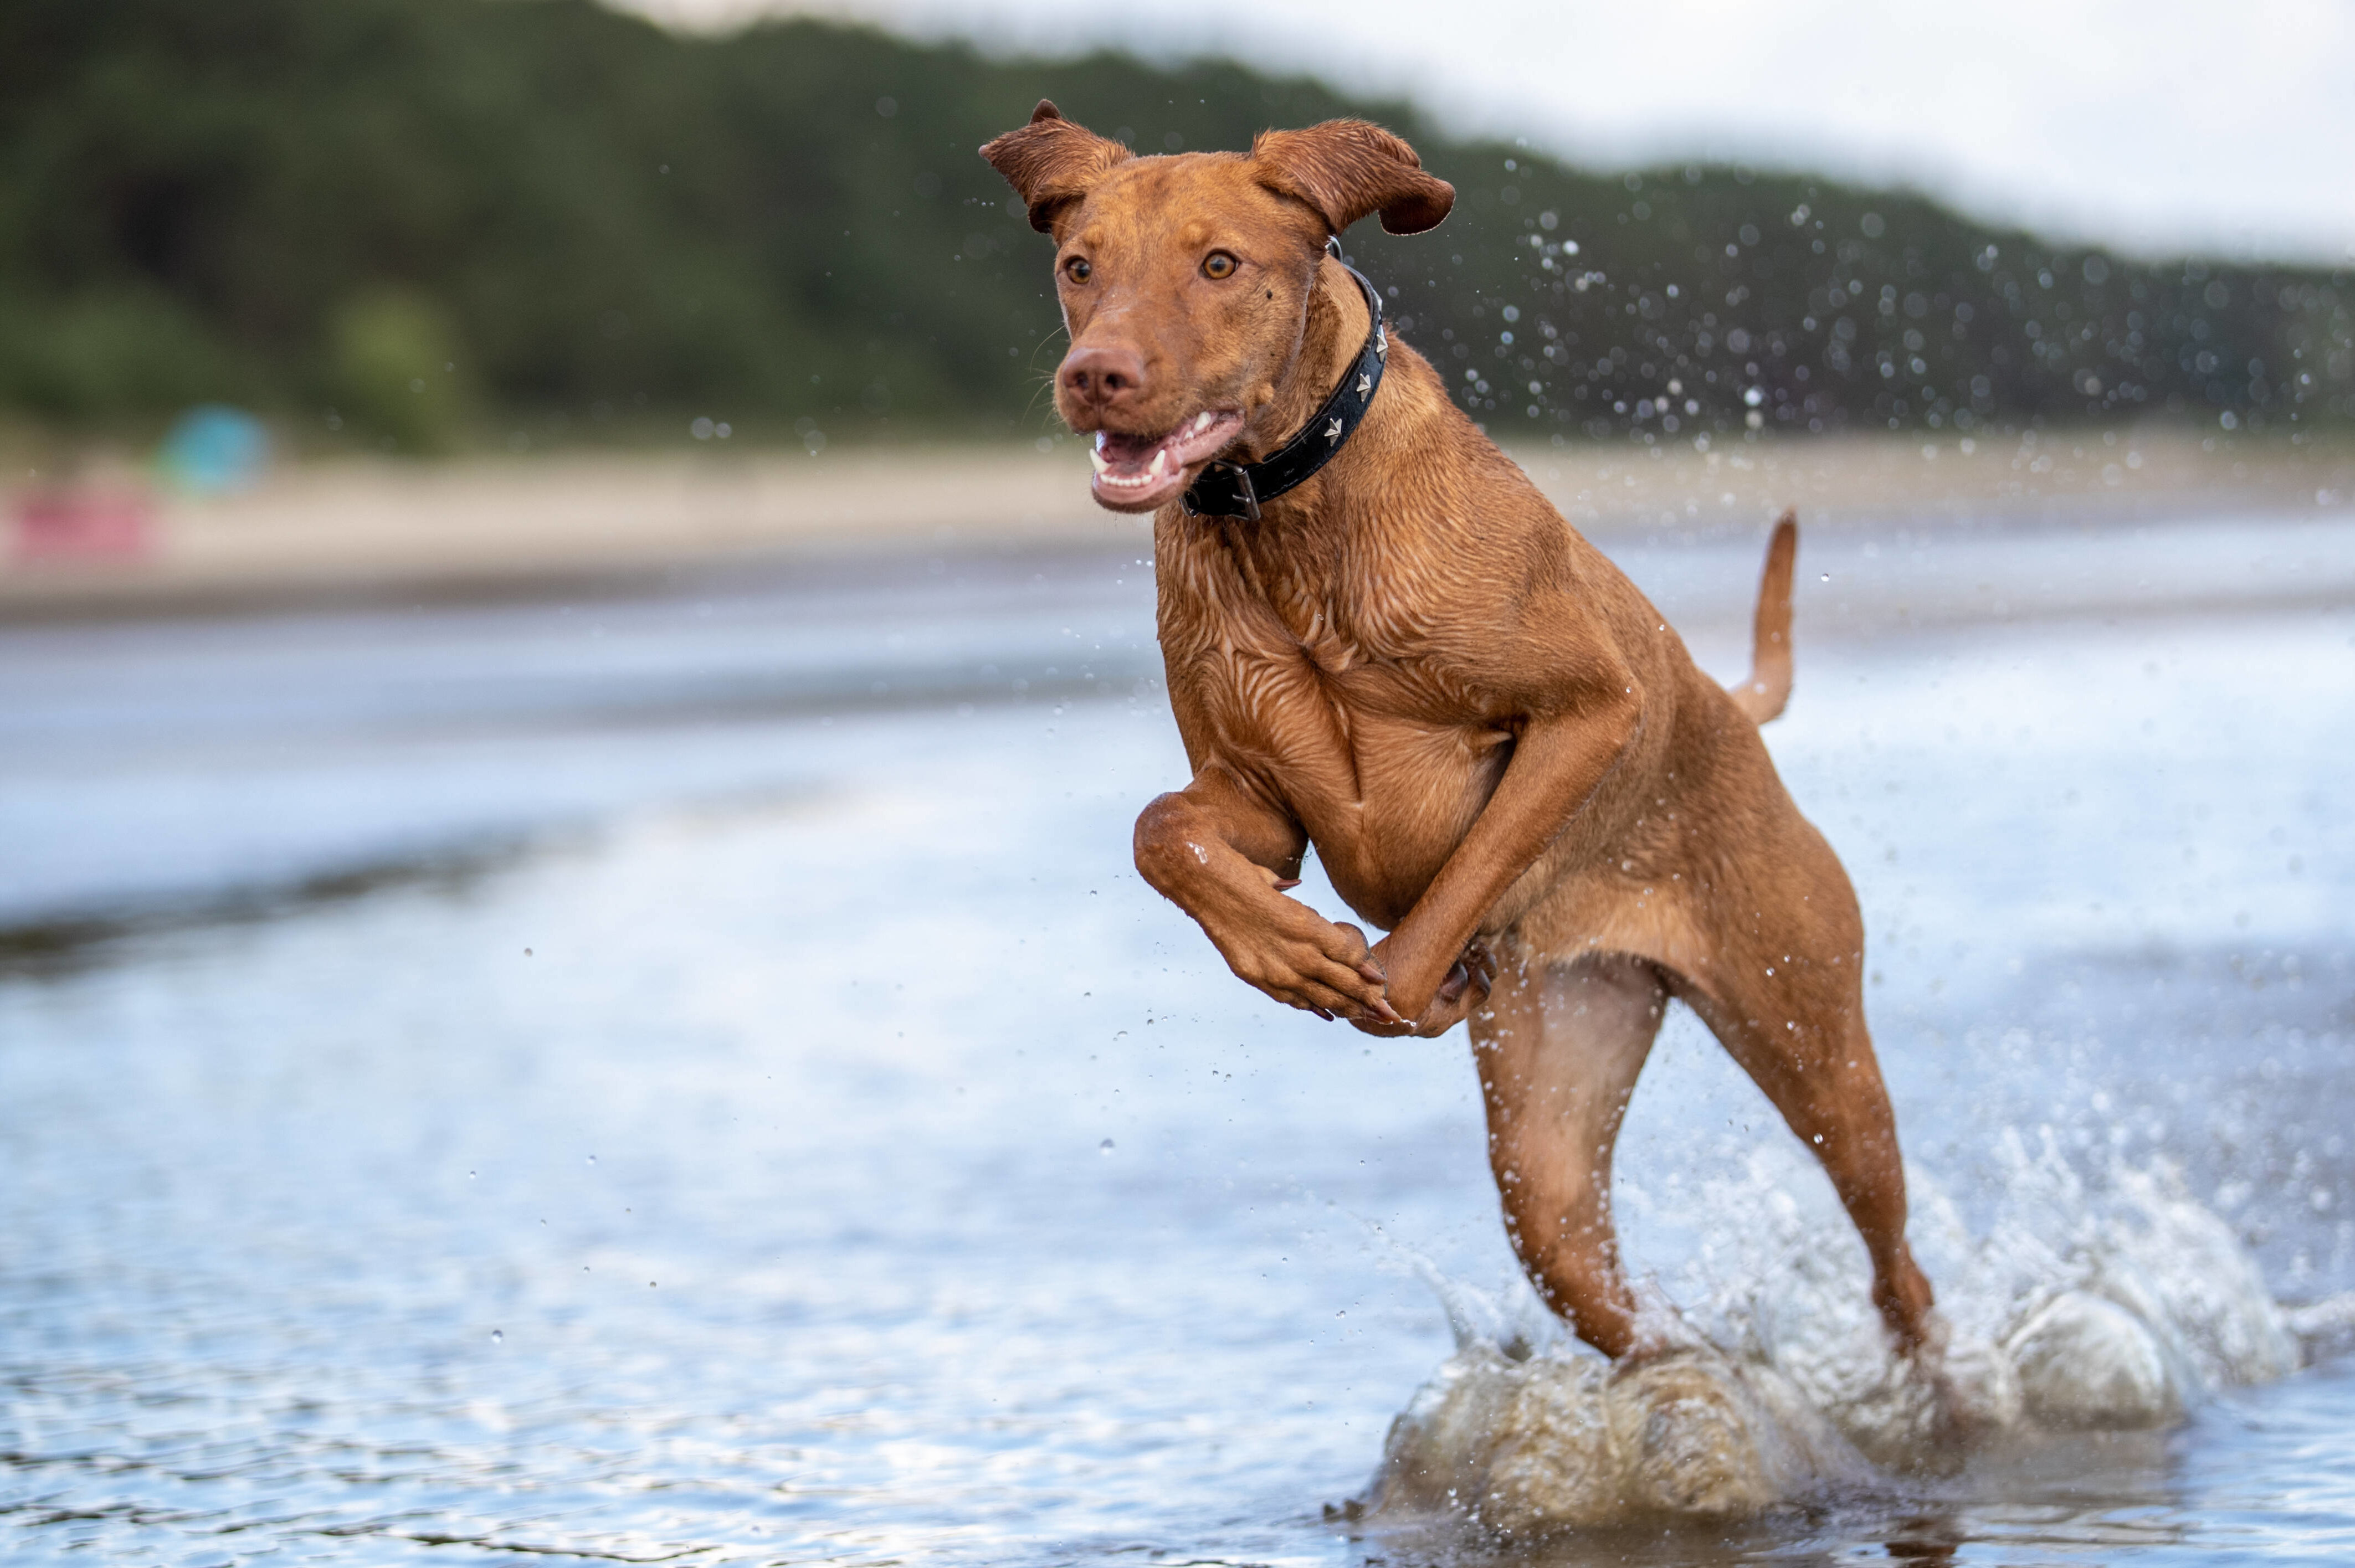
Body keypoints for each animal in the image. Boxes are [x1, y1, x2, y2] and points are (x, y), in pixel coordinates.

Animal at [984, 104, 1940, 1365]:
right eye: (1079, 267)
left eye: (1220, 265)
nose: (1096, 375)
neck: (1289, 521)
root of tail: (1735, 710)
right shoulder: (1251, 799)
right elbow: (1161, 833)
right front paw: (1286, 950)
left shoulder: (1591, 709)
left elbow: (1443, 899)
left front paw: (1377, 979)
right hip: (1552, 1137)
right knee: (1629, 1304)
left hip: (1816, 1044)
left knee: (1898, 1267)